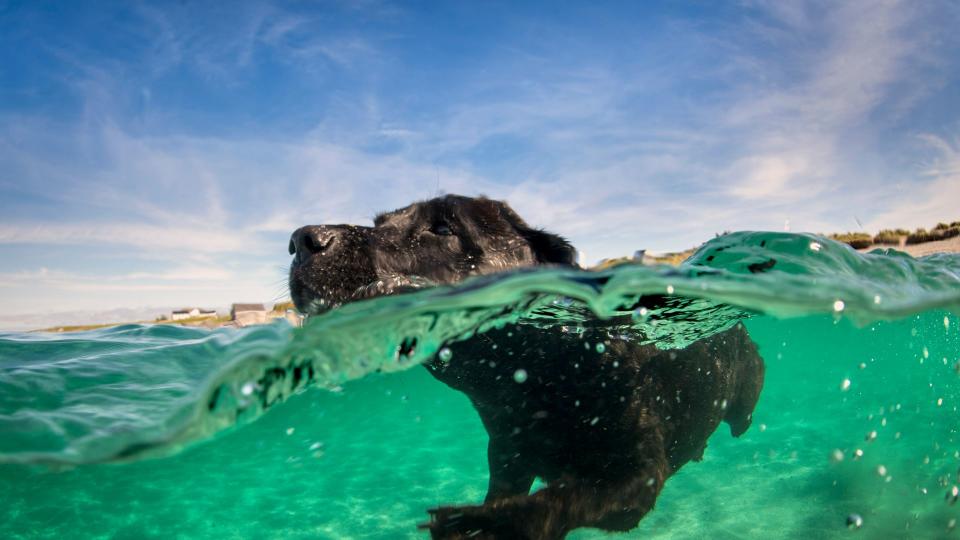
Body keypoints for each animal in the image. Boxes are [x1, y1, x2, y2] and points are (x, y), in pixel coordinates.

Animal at [286, 196, 764, 536]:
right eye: (381, 222)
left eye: (442, 228)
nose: (302, 239)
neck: (539, 376)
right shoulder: (507, 454)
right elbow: (509, 490)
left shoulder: (639, 477)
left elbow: (555, 501)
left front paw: (482, 523)